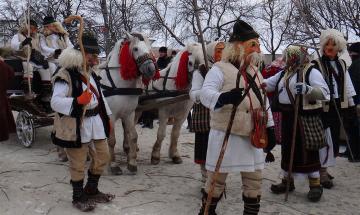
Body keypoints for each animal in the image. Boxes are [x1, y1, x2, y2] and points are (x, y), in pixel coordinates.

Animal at [97, 31, 158, 175]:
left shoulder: (129, 114)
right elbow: (112, 140)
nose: (151, 69)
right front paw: (113, 165)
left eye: (150, 49)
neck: (119, 85)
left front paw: (132, 163)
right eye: (135, 49)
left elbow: (133, 136)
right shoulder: (111, 116)